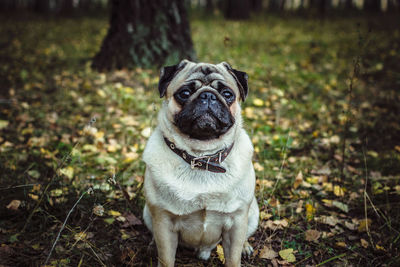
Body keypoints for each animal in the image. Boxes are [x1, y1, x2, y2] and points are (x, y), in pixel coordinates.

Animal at [142, 60, 258, 267]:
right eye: (184, 93)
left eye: (227, 94)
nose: (208, 95)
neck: (202, 157)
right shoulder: (163, 223)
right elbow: (166, 259)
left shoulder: (237, 223)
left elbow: (233, 257)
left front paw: (240, 251)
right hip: (148, 213)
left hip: (253, 214)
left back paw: (245, 247)